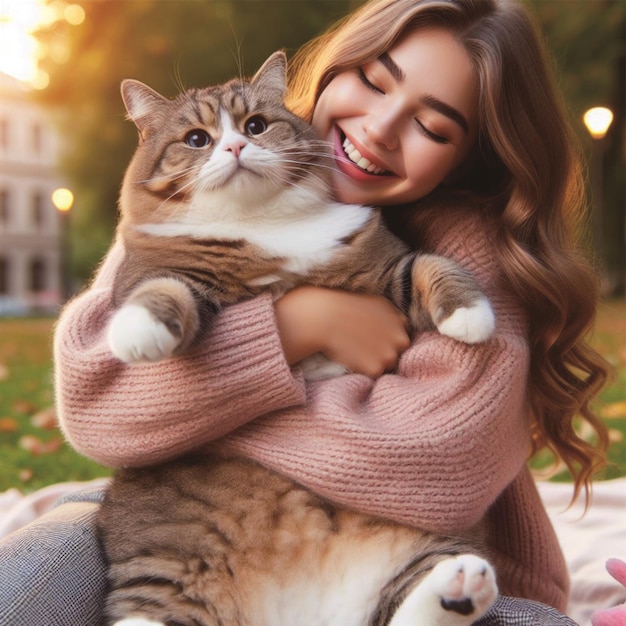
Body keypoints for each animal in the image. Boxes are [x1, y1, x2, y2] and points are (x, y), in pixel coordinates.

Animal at [98, 50, 498, 624]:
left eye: (255, 126)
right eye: (197, 139)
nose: (236, 147)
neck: (260, 222)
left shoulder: (385, 264)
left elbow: (430, 266)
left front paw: (473, 314)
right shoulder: (162, 276)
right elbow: (164, 290)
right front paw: (137, 332)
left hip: (426, 534)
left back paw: (461, 583)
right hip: (167, 577)